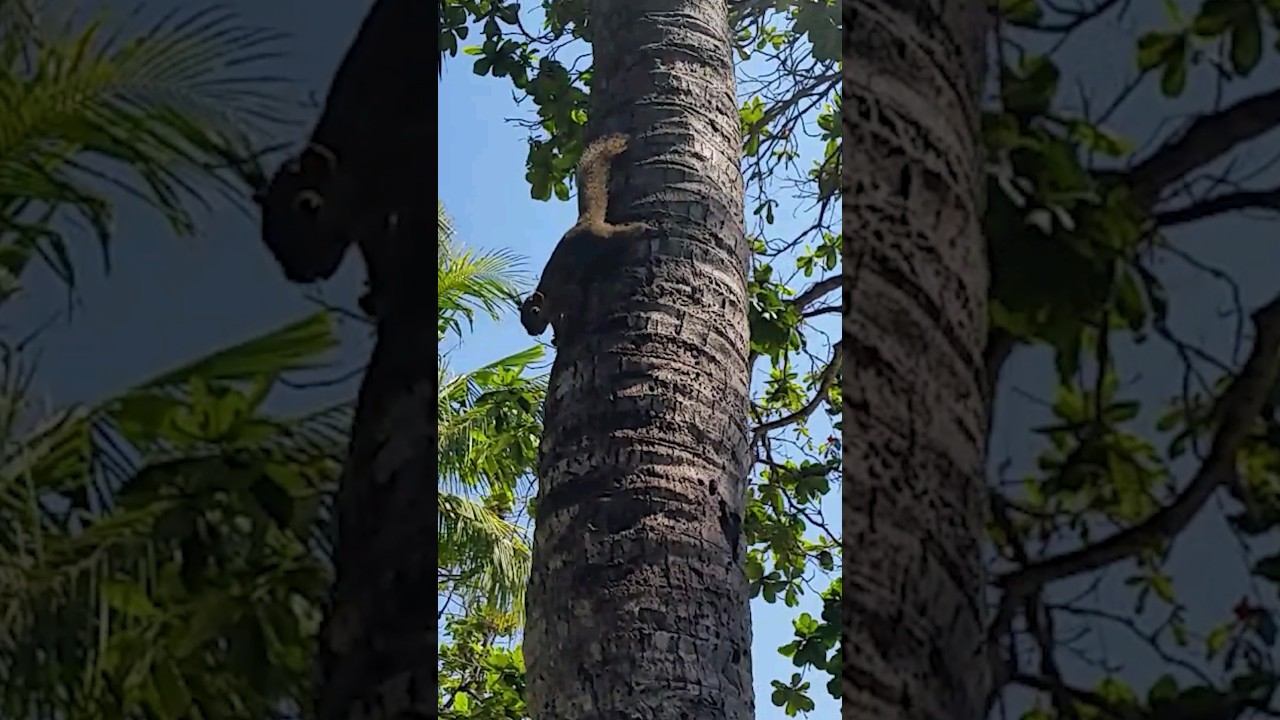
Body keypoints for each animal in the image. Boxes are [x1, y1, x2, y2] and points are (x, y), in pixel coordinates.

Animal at [520, 133, 652, 345]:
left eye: (534, 311)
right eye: (522, 320)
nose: (532, 332)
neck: (549, 299)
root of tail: (585, 221)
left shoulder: (567, 295)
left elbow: (576, 302)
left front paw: (568, 331)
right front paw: (557, 337)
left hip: (604, 237)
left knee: (623, 234)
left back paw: (644, 229)